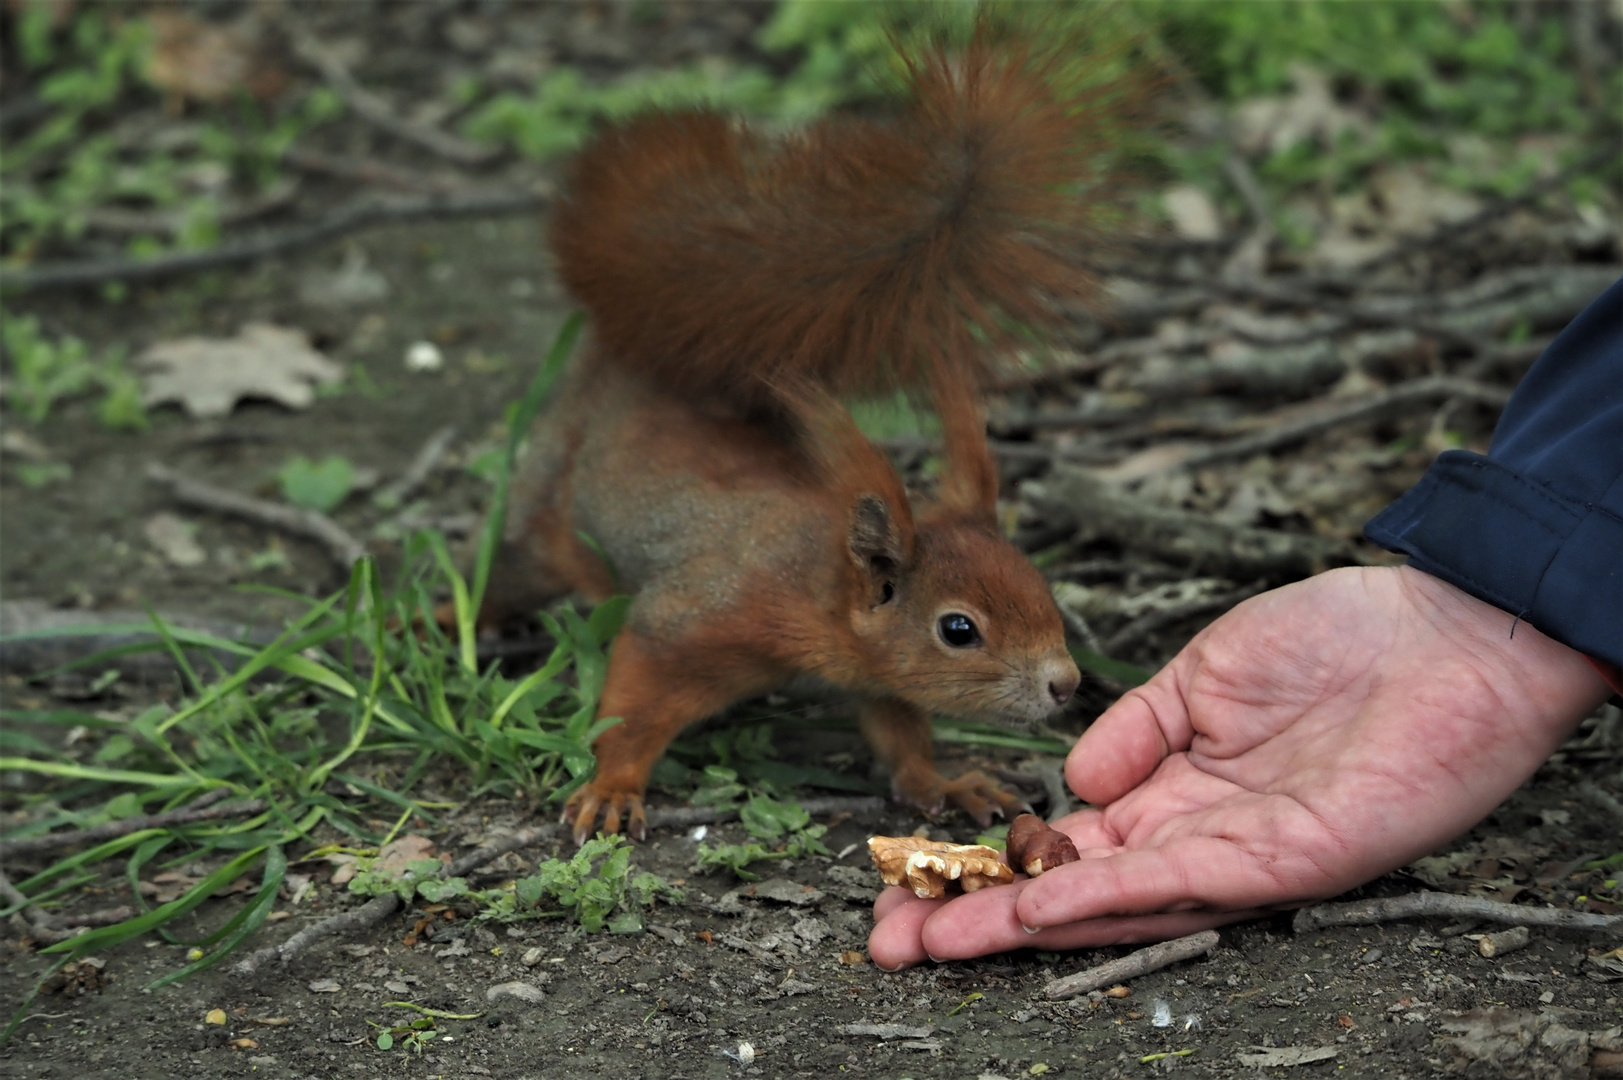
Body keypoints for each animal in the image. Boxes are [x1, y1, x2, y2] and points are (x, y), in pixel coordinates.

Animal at [483, 27, 1142, 844]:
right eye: (958, 629)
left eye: (1041, 586)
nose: (1065, 684)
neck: (815, 587)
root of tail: (628, 350)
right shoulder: (693, 619)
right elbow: (631, 704)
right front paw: (611, 787)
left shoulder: (876, 678)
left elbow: (900, 736)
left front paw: (946, 782)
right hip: (547, 506)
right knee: (510, 571)